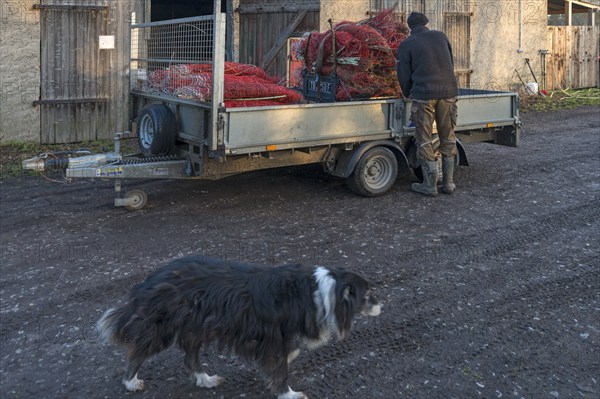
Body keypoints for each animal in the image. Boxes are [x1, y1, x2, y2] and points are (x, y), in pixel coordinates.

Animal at [96, 258, 382, 398]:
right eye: (368, 294)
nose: (382, 306)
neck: (319, 292)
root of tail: (152, 278)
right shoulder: (274, 339)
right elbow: (280, 369)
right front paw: (288, 394)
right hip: (164, 328)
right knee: (138, 352)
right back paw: (131, 382)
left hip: (194, 328)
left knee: (191, 357)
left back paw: (205, 379)